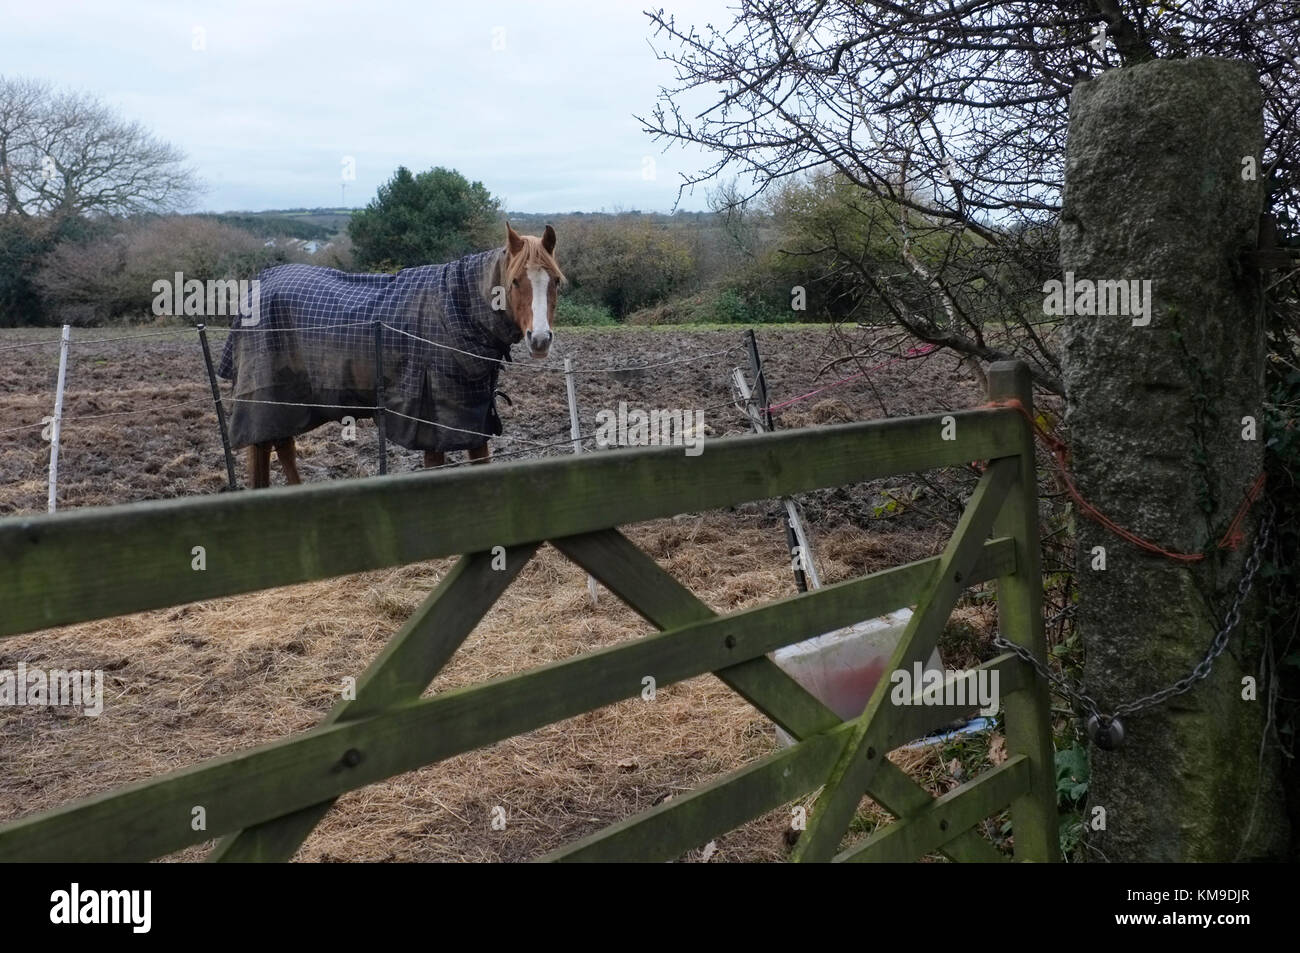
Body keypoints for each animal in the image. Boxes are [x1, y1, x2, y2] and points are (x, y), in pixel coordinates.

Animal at [217, 223, 562, 488]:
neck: (457, 310)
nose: (540, 339)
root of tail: (258, 285)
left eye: (556, 281)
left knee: (282, 446)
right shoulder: (431, 426)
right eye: (515, 281)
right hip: (265, 402)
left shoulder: (473, 419)